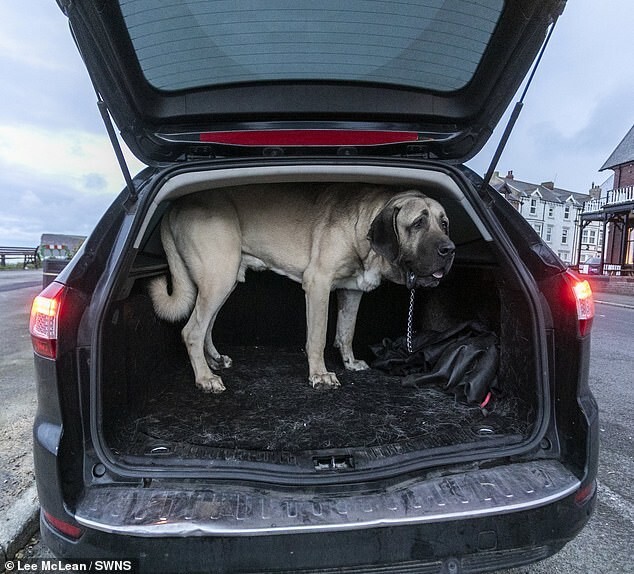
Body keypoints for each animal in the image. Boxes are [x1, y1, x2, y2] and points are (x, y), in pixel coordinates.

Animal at [148, 184, 454, 392]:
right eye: (418, 223)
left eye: (444, 223)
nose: (450, 250)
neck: (364, 228)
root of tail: (173, 206)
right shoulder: (318, 284)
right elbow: (317, 337)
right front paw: (319, 375)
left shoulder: (352, 292)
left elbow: (346, 332)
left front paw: (350, 362)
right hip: (219, 277)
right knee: (191, 331)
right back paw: (205, 378)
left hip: (224, 280)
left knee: (206, 326)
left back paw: (212, 360)